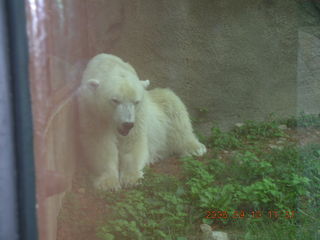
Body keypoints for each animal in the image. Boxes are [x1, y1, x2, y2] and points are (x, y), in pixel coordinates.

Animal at [78, 53, 208, 190]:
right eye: (115, 100)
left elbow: (133, 140)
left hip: (161, 107)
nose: (127, 124)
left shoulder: (139, 113)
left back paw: (195, 148)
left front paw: (131, 178)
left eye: (136, 101)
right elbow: (101, 143)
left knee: (175, 110)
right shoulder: (91, 111)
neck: (111, 64)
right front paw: (109, 183)